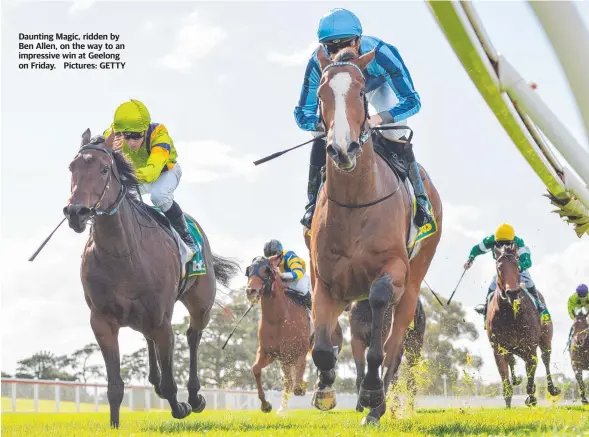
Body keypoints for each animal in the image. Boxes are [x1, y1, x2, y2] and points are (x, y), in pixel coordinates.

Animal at [63, 129, 240, 426]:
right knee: (150, 340)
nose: (76, 212)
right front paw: (114, 425)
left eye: (103, 169)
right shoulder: (102, 321)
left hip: (200, 303)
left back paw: (194, 396)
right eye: (72, 167)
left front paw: (182, 406)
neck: (122, 253)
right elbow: (114, 387)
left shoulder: (162, 320)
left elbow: (170, 382)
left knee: (193, 335)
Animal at [245, 254, 312, 414]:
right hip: (283, 360)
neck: (277, 319)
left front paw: (301, 387)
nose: (251, 291)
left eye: (266, 270)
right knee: (288, 381)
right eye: (249, 270)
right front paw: (265, 404)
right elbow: (256, 369)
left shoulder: (298, 351)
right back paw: (282, 408)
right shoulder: (270, 353)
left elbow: (298, 378)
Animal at [304, 46, 440, 420]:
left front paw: (371, 393)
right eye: (320, 95)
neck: (356, 203)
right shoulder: (326, 281)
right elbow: (323, 347)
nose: (342, 149)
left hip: (413, 284)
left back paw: (376, 405)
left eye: (362, 91)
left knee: (394, 345)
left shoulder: (392, 270)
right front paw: (325, 390)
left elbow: (380, 319)